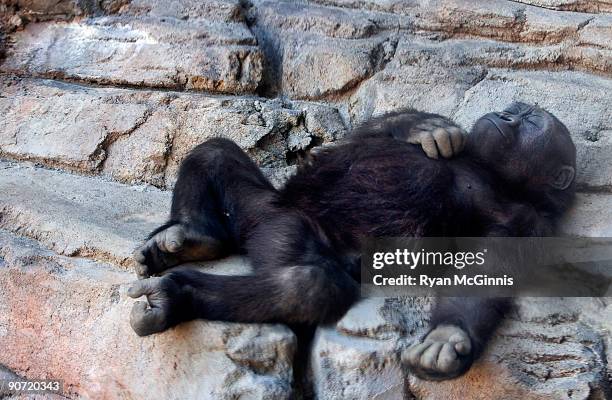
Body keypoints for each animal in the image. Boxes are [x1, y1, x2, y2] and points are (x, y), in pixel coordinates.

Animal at [126, 101, 576, 382]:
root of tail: (258, 232)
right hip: (264, 206)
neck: (492, 172)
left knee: (311, 286)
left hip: (283, 230)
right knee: (214, 152)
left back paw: (176, 295)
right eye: (518, 112)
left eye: (531, 121)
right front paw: (423, 126)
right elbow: (355, 138)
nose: (507, 114)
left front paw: (448, 336)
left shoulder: (524, 222)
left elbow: (486, 275)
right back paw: (191, 235)